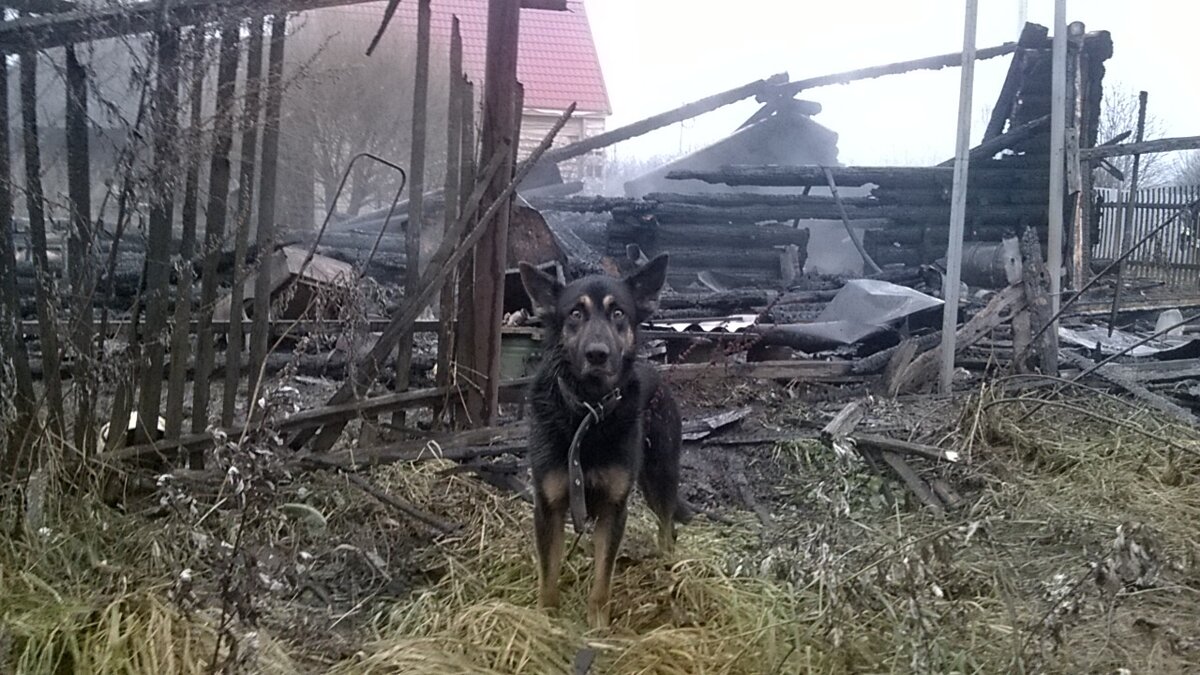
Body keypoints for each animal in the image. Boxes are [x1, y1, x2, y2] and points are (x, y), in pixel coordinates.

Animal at [516, 251, 686, 624]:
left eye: (618, 312)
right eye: (575, 313)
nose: (597, 354)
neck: (587, 413)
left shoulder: (613, 509)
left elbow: (602, 581)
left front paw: (597, 625)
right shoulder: (549, 507)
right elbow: (548, 575)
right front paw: (547, 620)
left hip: (660, 476)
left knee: (667, 527)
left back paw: (666, 569)